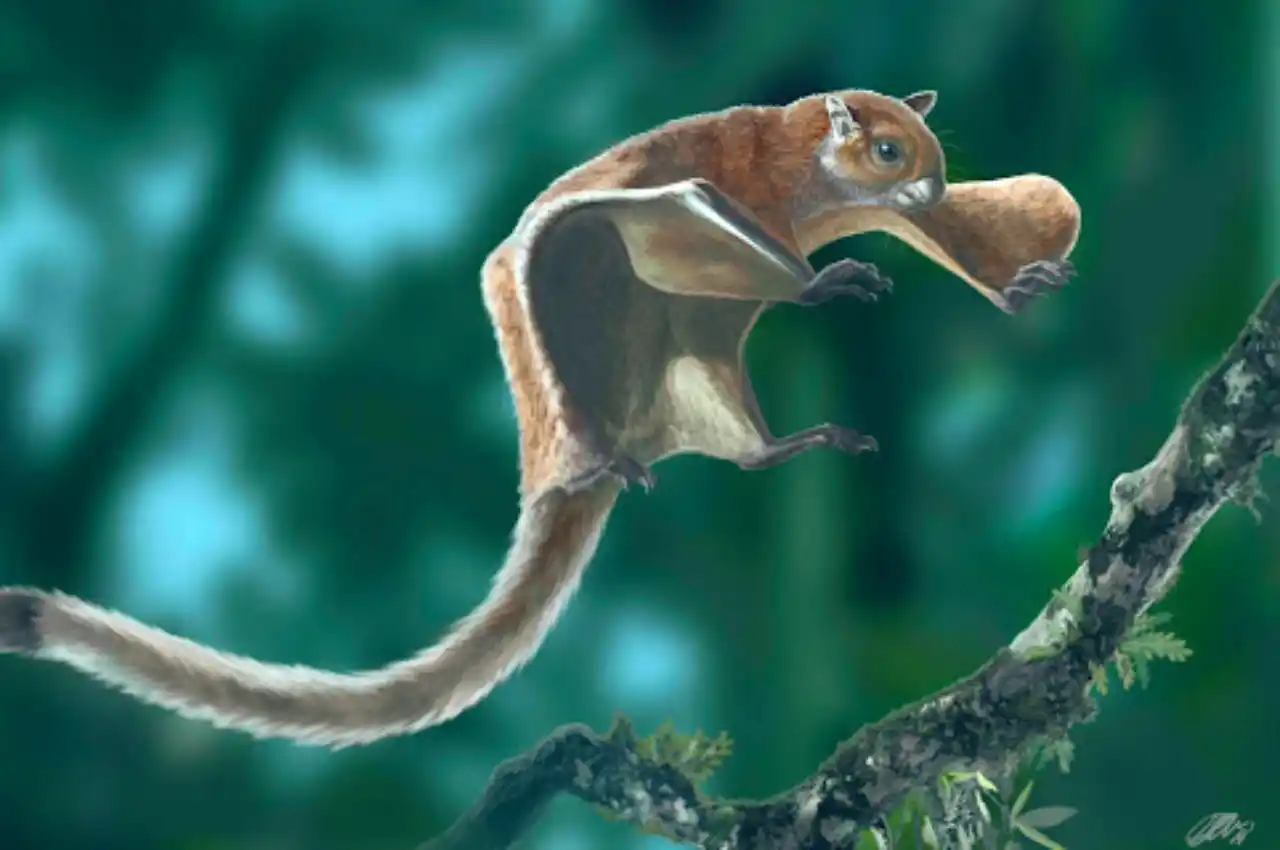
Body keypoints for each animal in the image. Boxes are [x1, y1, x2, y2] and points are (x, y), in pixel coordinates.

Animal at [0, 89, 1080, 748]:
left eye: (930, 153)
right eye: (889, 147)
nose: (930, 184)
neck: (803, 174)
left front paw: (1014, 282)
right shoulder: (715, 194)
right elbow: (716, 217)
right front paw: (823, 285)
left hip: (699, 369)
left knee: (747, 450)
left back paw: (784, 441)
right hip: (579, 340)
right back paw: (617, 460)